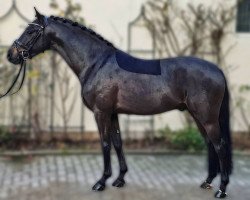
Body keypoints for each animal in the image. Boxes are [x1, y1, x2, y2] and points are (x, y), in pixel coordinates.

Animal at [6, 8, 232, 198]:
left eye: (30, 31)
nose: (11, 55)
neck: (96, 63)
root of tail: (218, 70)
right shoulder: (112, 113)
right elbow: (117, 143)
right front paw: (120, 179)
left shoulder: (101, 112)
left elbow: (105, 144)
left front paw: (101, 182)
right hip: (198, 116)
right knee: (210, 144)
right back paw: (207, 181)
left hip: (207, 117)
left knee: (219, 145)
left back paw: (221, 189)